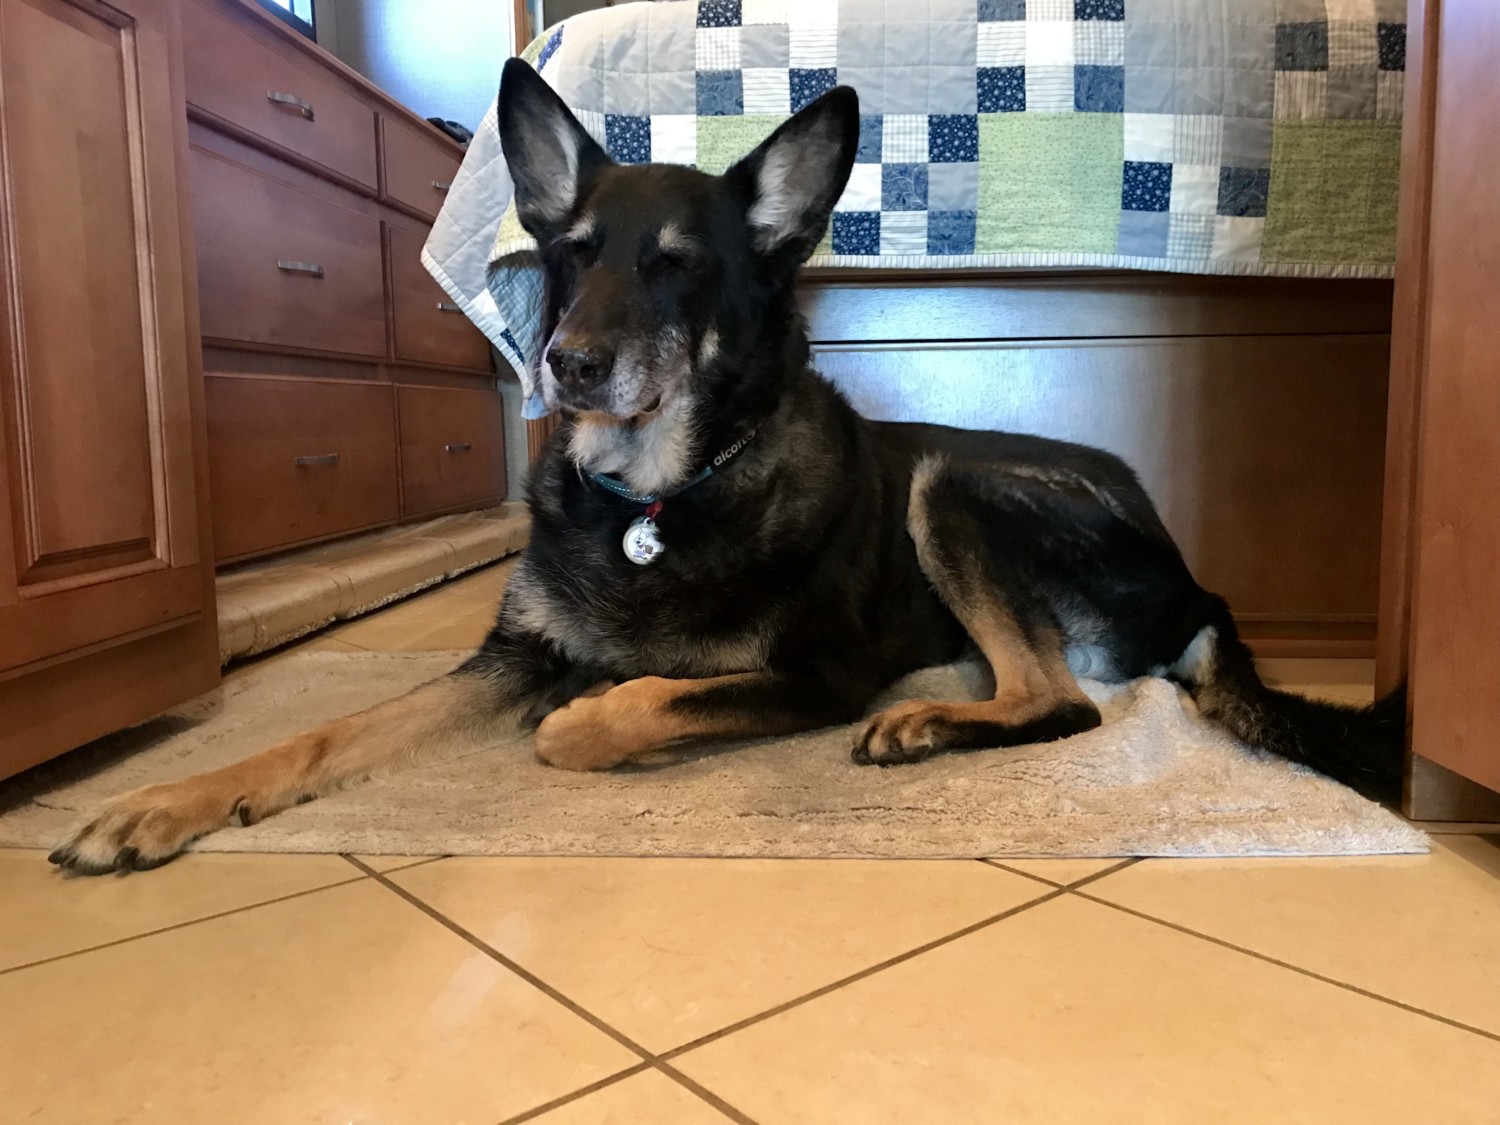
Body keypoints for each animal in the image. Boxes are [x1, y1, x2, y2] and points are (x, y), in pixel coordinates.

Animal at [49, 59, 1404, 882]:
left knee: (1063, 702)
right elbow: (332, 729)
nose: (568, 365)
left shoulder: (815, 674)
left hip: (952, 485)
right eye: (573, 251)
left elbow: (636, 703)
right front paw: (167, 802)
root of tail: (1194, 577)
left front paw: (583, 718)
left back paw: (925, 723)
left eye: (678, 265)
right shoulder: (507, 655)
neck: (657, 493)